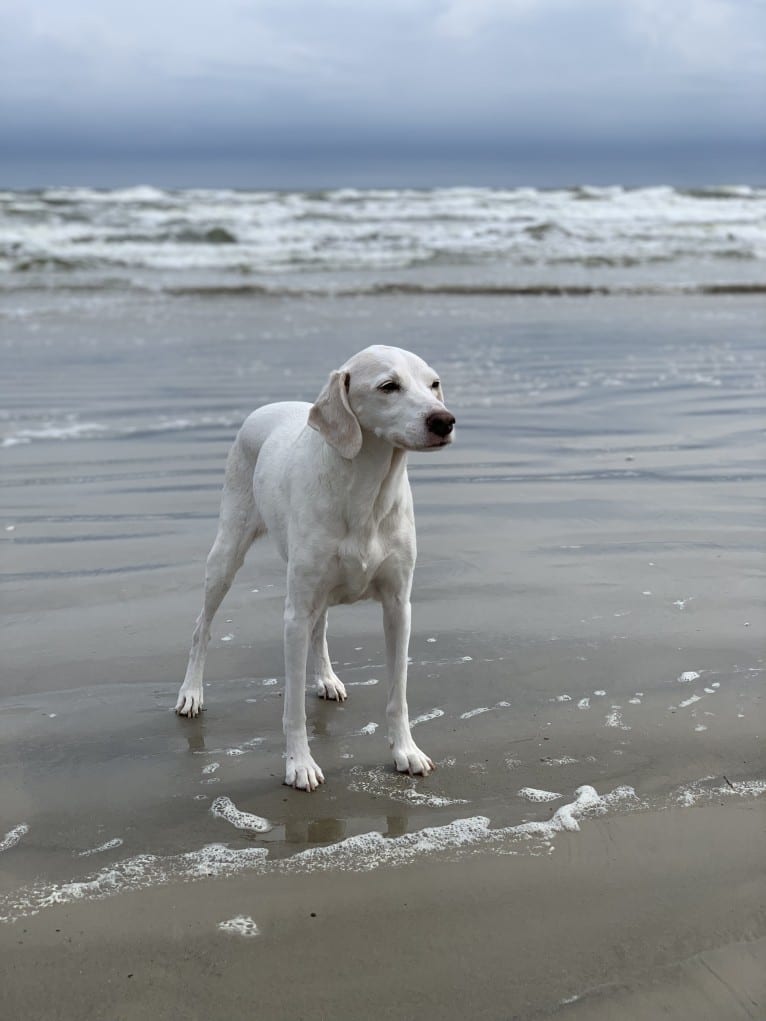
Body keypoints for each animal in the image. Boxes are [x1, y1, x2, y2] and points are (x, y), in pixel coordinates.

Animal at [176, 347, 455, 792]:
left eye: (434, 384)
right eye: (388, 386)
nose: (444, 420)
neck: (367, 490)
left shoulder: (399, 607)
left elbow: (398, 694)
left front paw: (405, 751)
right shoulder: (294, 615)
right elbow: (292, 706)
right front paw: (299, 764)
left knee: (320, 627)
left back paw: (326, 678)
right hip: (227, 552)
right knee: (202, 625)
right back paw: (191, 693)